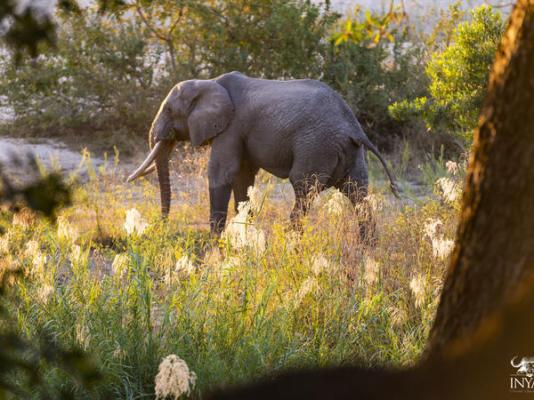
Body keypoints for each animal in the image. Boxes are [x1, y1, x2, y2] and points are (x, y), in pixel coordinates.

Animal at [127, 70, 400, 239]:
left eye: (169, 110)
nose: (160, 225)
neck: (209, 82)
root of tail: (354, 128)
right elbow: (243, 179)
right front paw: (243, 234)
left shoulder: (231, 127)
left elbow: (222, 174)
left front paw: (215, 241)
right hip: (352, 154)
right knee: (358, 194)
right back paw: (367, 249)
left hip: (316, 146)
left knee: (304, 193)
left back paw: (292, 244)